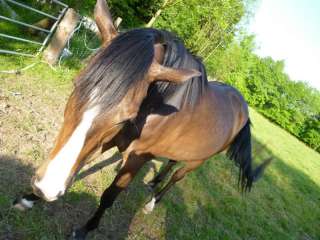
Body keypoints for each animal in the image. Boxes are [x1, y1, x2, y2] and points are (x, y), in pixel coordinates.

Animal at [14, 0, 270, 239]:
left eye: (126, 115)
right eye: (76, 84)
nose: (46, 188)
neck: (155, 104)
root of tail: (242, 107)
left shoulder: (138, 156)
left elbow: (109, 195)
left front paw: (85, 229)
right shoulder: (105, 140)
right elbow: (79, 162)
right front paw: (29, 198)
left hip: (198, 160)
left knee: (177, 176)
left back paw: (153, 202)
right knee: (171, 162)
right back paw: (154, 181)